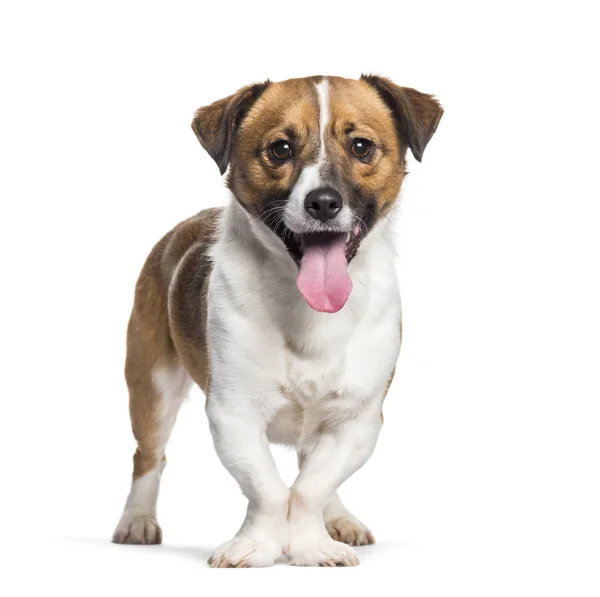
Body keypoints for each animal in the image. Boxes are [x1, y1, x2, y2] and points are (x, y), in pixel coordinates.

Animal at [111, 72, 440, 564]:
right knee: (149, 456)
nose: (323, 202)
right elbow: (267, 489)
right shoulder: (233, 414)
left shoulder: (356, 421)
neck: (309, 310)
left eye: (361, 146)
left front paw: (310, 543)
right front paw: (255, 546)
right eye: (280, 149)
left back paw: (338, 518)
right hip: (152, 384)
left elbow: (309, 489)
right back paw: (136, 520)